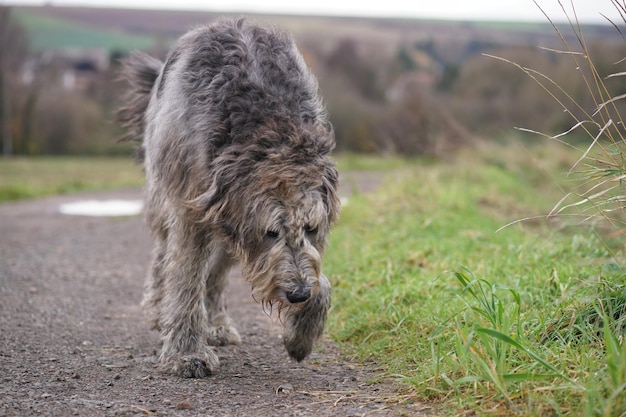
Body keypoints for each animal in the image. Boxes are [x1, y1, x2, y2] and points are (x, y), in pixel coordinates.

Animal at [119, 19, 338, 376]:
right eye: (271, 232)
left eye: (310, 228)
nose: (298, 294)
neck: (268, 125)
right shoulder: (191, 206)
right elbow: (185, 278)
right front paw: (186, 352)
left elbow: (320, 277)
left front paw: (303, 333)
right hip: (164, 192)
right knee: (164, 256)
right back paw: (157, 308)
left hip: (227, 230)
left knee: (216, 275)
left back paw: (217, 324)